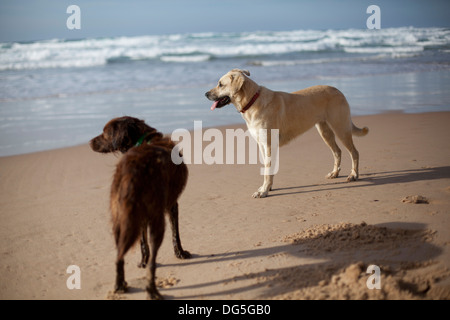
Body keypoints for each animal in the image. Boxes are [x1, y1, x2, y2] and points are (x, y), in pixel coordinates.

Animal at [90, 115, 191, 300]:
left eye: (104, 132)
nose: (89, 142)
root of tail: (133, 170)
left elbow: (143, 244)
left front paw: (142, 261)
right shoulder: (171, 205)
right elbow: (176, 235)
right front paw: (180, 254)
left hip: (119, 219)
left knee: (119, 256)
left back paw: (120, 286)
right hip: (156, 221)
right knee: (152, 264)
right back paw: (153, 292)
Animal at [206, 68, 368, 198]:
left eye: (220, 84)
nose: (205, 94)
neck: (252, 101)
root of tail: (339, 91)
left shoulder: (269, 145)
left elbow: (267, 169)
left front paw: (263, 191)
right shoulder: (262, 145)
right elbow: (267, 169)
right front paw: (267, 187)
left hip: (341, 128)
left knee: (354, 152)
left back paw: (354, 175)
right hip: (324, 130)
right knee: (337, 151)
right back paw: (335, 173)